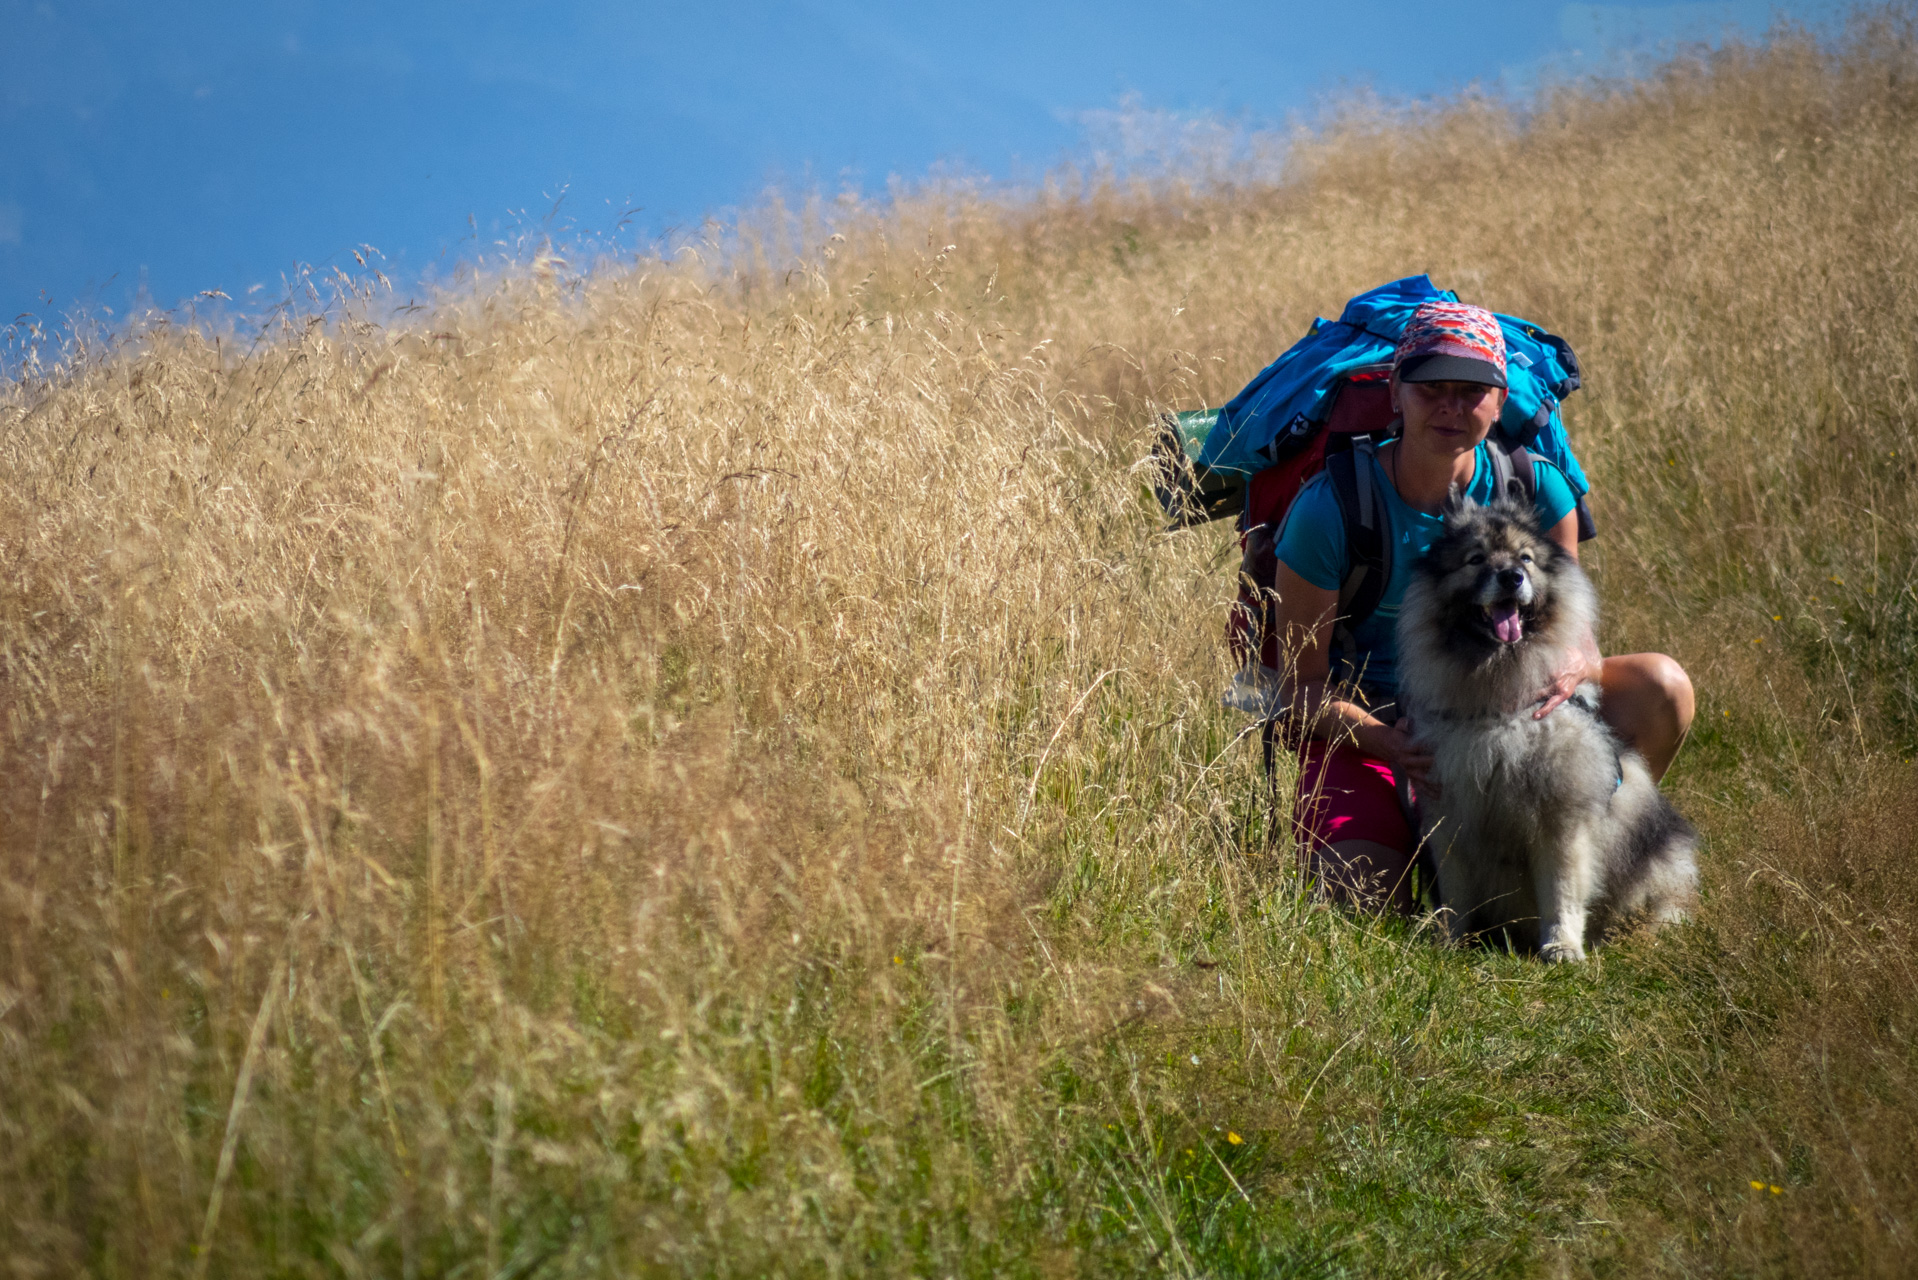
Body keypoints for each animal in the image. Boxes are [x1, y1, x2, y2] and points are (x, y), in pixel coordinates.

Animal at [1396, 498, 1695, 959]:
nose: (1511, 577)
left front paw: (1562, 947)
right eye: (1475, 559)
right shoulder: (1450, 817)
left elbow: (1561, 891)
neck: (1502, 711)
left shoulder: (1561, 822)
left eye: (1525, 558)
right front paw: (1448, 941)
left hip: (1660, 864)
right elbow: (1455, 894)